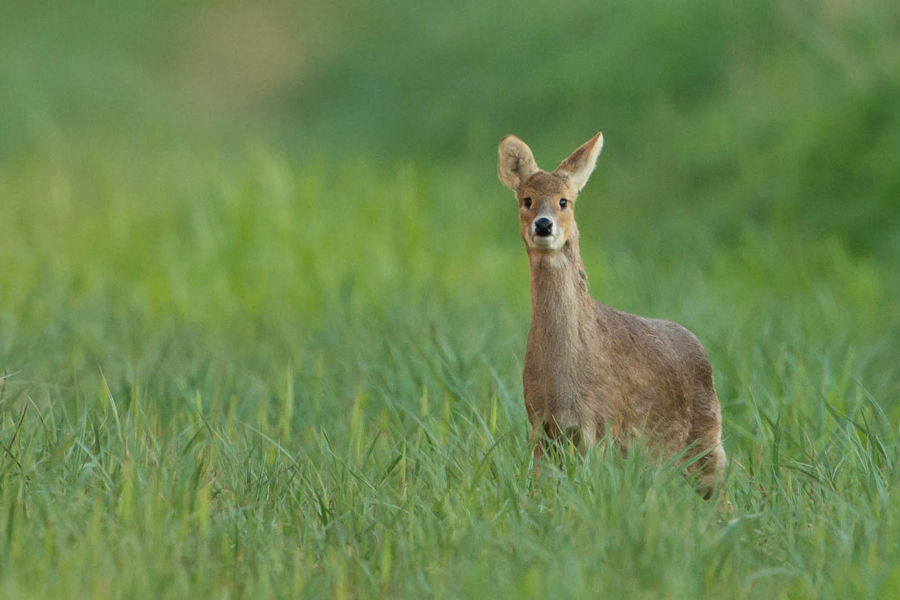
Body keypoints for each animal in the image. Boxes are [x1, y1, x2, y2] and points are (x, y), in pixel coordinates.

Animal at [496, 134, 728, 500]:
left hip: (706, 440)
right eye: (527, 200)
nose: (543, 225)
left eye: (564, 202)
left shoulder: (600, 423)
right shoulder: (540, 424)